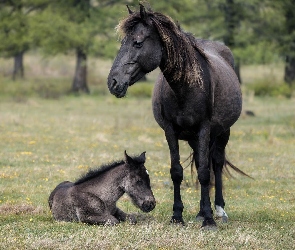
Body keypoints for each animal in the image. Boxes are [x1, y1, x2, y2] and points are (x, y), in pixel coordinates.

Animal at [108, 4, 247, 230]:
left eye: (137, 42)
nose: (113, 82)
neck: (186, 87)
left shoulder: (204, 129)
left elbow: (205, 172)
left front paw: (209, 220)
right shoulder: (170, 131)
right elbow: (177, 172)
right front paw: (177, 216)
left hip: (222, 132)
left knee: (216, 164)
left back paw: (219, 210)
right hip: (194, 139)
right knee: (201, 163)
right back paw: (200, 212)